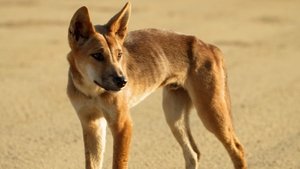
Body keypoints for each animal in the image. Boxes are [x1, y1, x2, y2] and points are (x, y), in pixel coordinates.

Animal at [67, 2, 247, 169]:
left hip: (210, 112)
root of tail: (209, 46)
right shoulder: (92, 124)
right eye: (97, 55)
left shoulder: (122, 124)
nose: (123, 81)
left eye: (119, 55)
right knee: (193, 153)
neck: (92, 91)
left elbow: (118, 163)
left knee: (237, 149)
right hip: (174, 116)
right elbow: (92, 164)